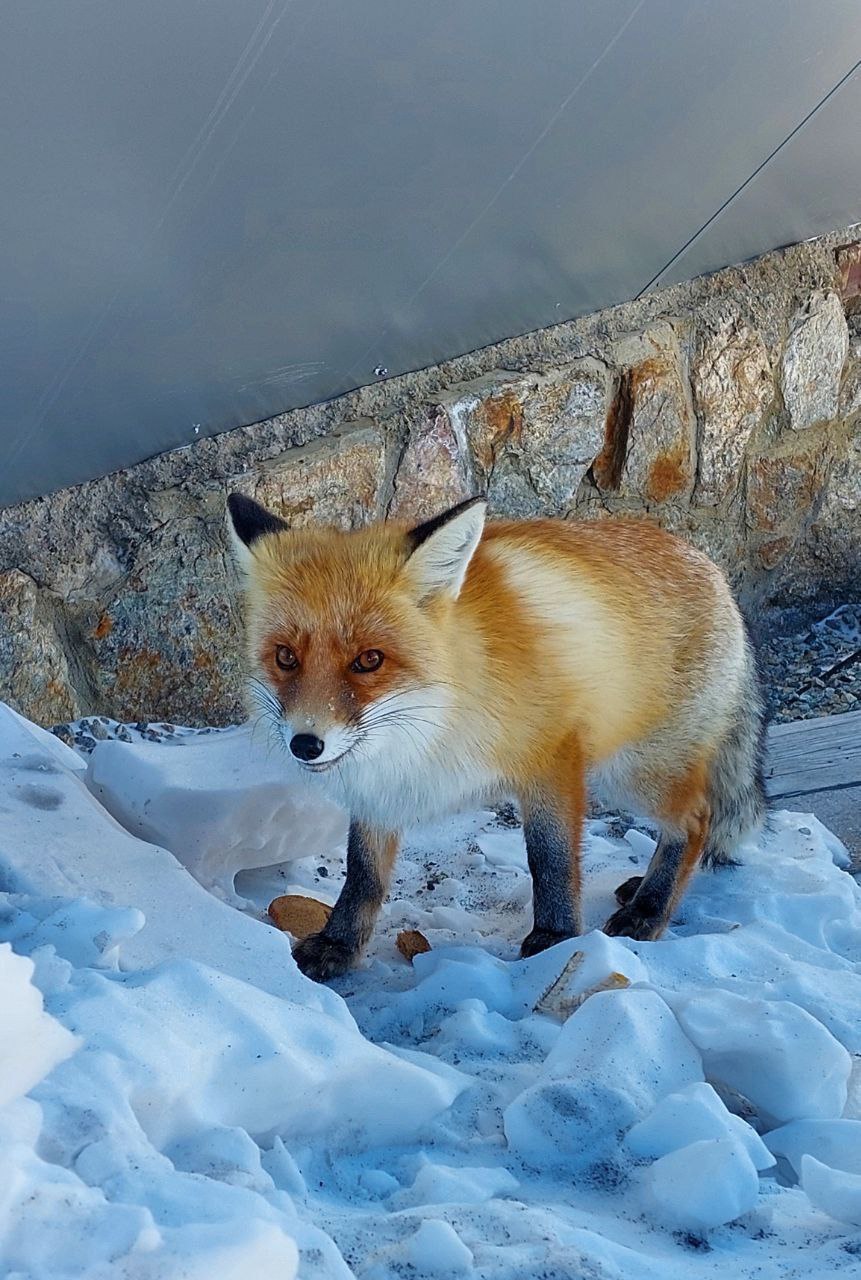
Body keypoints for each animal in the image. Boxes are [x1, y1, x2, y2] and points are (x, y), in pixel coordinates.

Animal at [226, 492, 767, 982]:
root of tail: (708, 565)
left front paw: (555, 940)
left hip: (634, 772)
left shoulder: (552, 759)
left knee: (696, 821)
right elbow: (362, 876)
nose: (305, 743)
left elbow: (550, 862)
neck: (438, 720)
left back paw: (650, 908)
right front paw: (340, 944)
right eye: (286, 657)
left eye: (369, 660)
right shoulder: (380, 787)